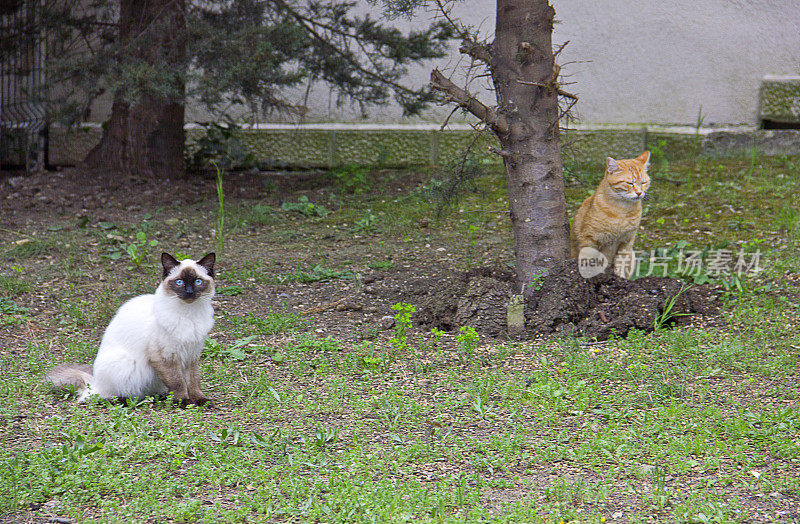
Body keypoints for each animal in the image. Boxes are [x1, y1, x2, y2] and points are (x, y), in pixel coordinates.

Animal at [47, 252, 216, 404]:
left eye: (198, 282)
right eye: (180, 282)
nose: (189, 292)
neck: (190, 314)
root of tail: (94, 383)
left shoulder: (192, 354)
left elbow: (193, 381)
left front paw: (200, 400)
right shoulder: (165, 355)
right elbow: (178, 382)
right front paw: (184, 401)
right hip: (128, 364)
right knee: (106, 396)